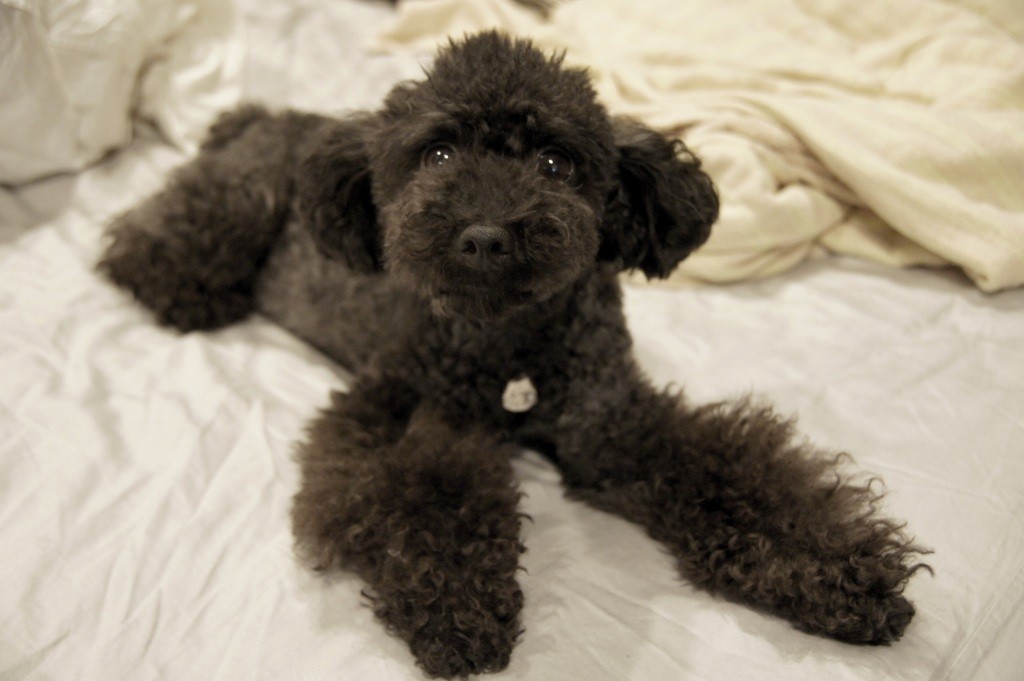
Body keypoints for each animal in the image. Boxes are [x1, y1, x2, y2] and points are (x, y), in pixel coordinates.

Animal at [98, 31, 927, 678]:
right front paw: (457, 608)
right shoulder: (403, 409)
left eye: (556, 163)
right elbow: (424, 493)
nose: (485, 235)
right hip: (237, 204)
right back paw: (185, 291)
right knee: (145, 248)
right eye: (435, 153)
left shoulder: (611, 424)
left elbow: (733, 470)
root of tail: (260, 115)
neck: (513, 351)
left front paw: (836, 570)